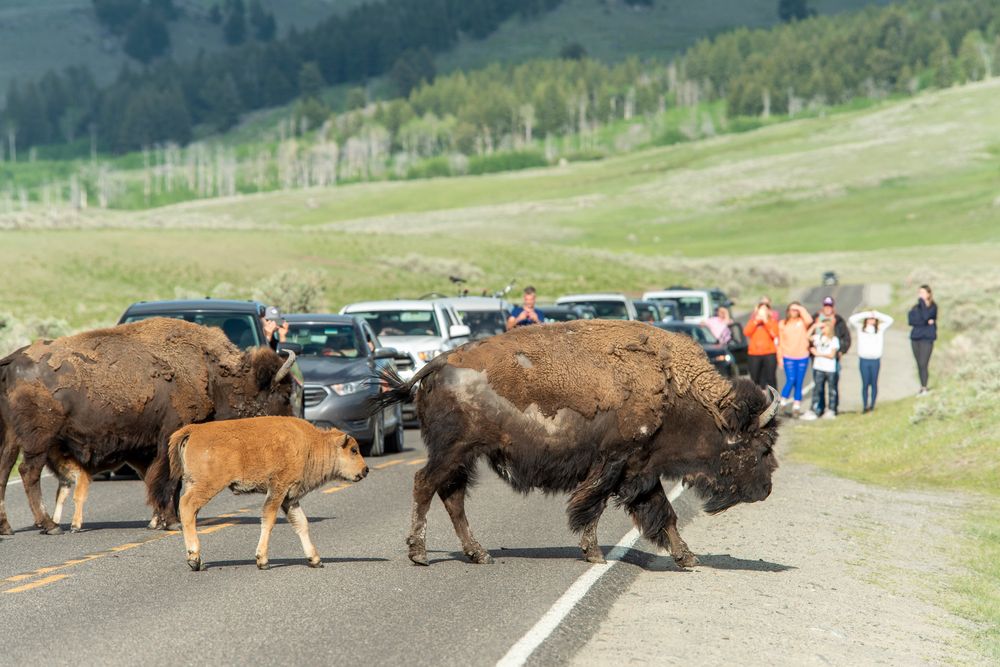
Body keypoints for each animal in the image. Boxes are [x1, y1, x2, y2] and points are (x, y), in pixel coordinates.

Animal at [0, 320, 296, 536]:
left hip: (12, 438)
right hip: (38, 440)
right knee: (28, 473)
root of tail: (12, 360)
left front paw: (160, 520)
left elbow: (159, 481)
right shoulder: (170, 438)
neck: (213, 375)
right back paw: (49, 526)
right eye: (283, 395)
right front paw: (171, 521)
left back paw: (7, 528)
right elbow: (169, 481)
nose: (291, 428)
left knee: (4, 471)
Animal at [168, 418, 372, 568]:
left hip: (195, 484)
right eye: (354, 450)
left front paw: (315, 559)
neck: (310, 444)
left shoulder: (290, 499)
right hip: (208, 485)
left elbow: (301, 524)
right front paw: (262, 560)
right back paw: (194, 559)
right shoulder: (278, 490)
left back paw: (196, 559)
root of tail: (194, 430)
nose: (366, 469)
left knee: (191, 512)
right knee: (187, 506)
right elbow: (269, 519)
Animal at [374, 320, 780, 568]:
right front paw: (595, 554)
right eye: (761, 447)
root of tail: (439, 363)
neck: (673, 388)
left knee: (452, 497)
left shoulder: (640, 469)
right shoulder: (614, 464)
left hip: (465, 456)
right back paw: (420, 553)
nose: (766, 489)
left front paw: (687, 557)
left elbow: (662, 513)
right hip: (453, 450)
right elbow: (592, 508)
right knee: (425, 485)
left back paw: (479, 554)